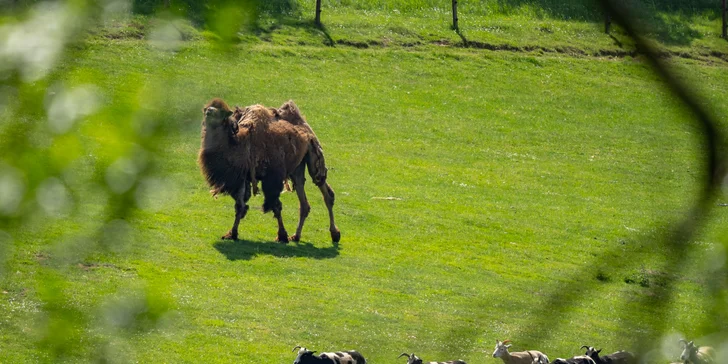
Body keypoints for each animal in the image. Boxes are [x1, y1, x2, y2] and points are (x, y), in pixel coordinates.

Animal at [195, 98, 340, 243]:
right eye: (208, 107)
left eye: (222, 113)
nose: (209, 111)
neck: (241, 144)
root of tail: (305, 126)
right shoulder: (242, 178)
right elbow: (240, 206)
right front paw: (232, 233)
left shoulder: (272, 179)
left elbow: (275, 206)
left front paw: (282, 235)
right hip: (297, 168)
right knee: (304, 201)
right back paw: (296, 236)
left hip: (314, 157)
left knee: (326, 192)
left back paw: (335, 234)